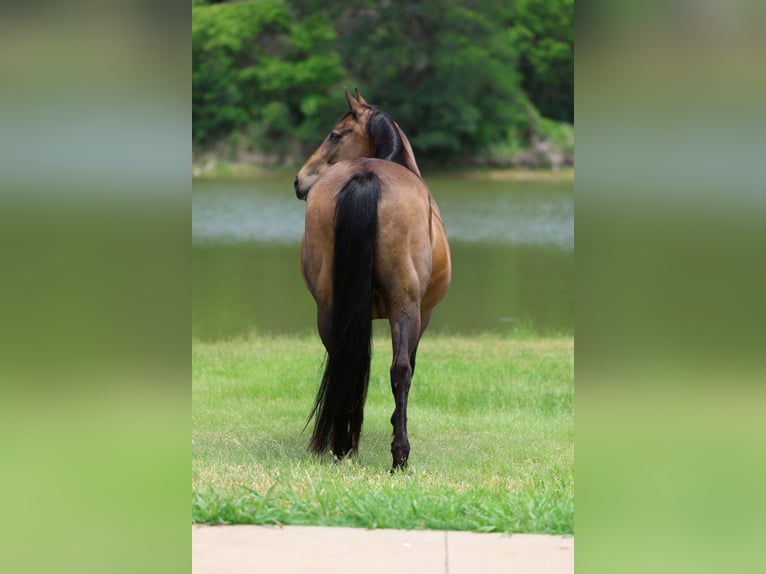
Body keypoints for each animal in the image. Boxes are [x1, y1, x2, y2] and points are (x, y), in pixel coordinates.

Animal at [294, 88, 451, 470]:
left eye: (335, 135)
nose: (299, 180)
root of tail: (366, 175)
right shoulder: (423, 314)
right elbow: (407, 367)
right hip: (405, 307)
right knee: (401, 370)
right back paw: (398, 456)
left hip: (330, 308)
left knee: (343, 362)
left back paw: (343, 445)